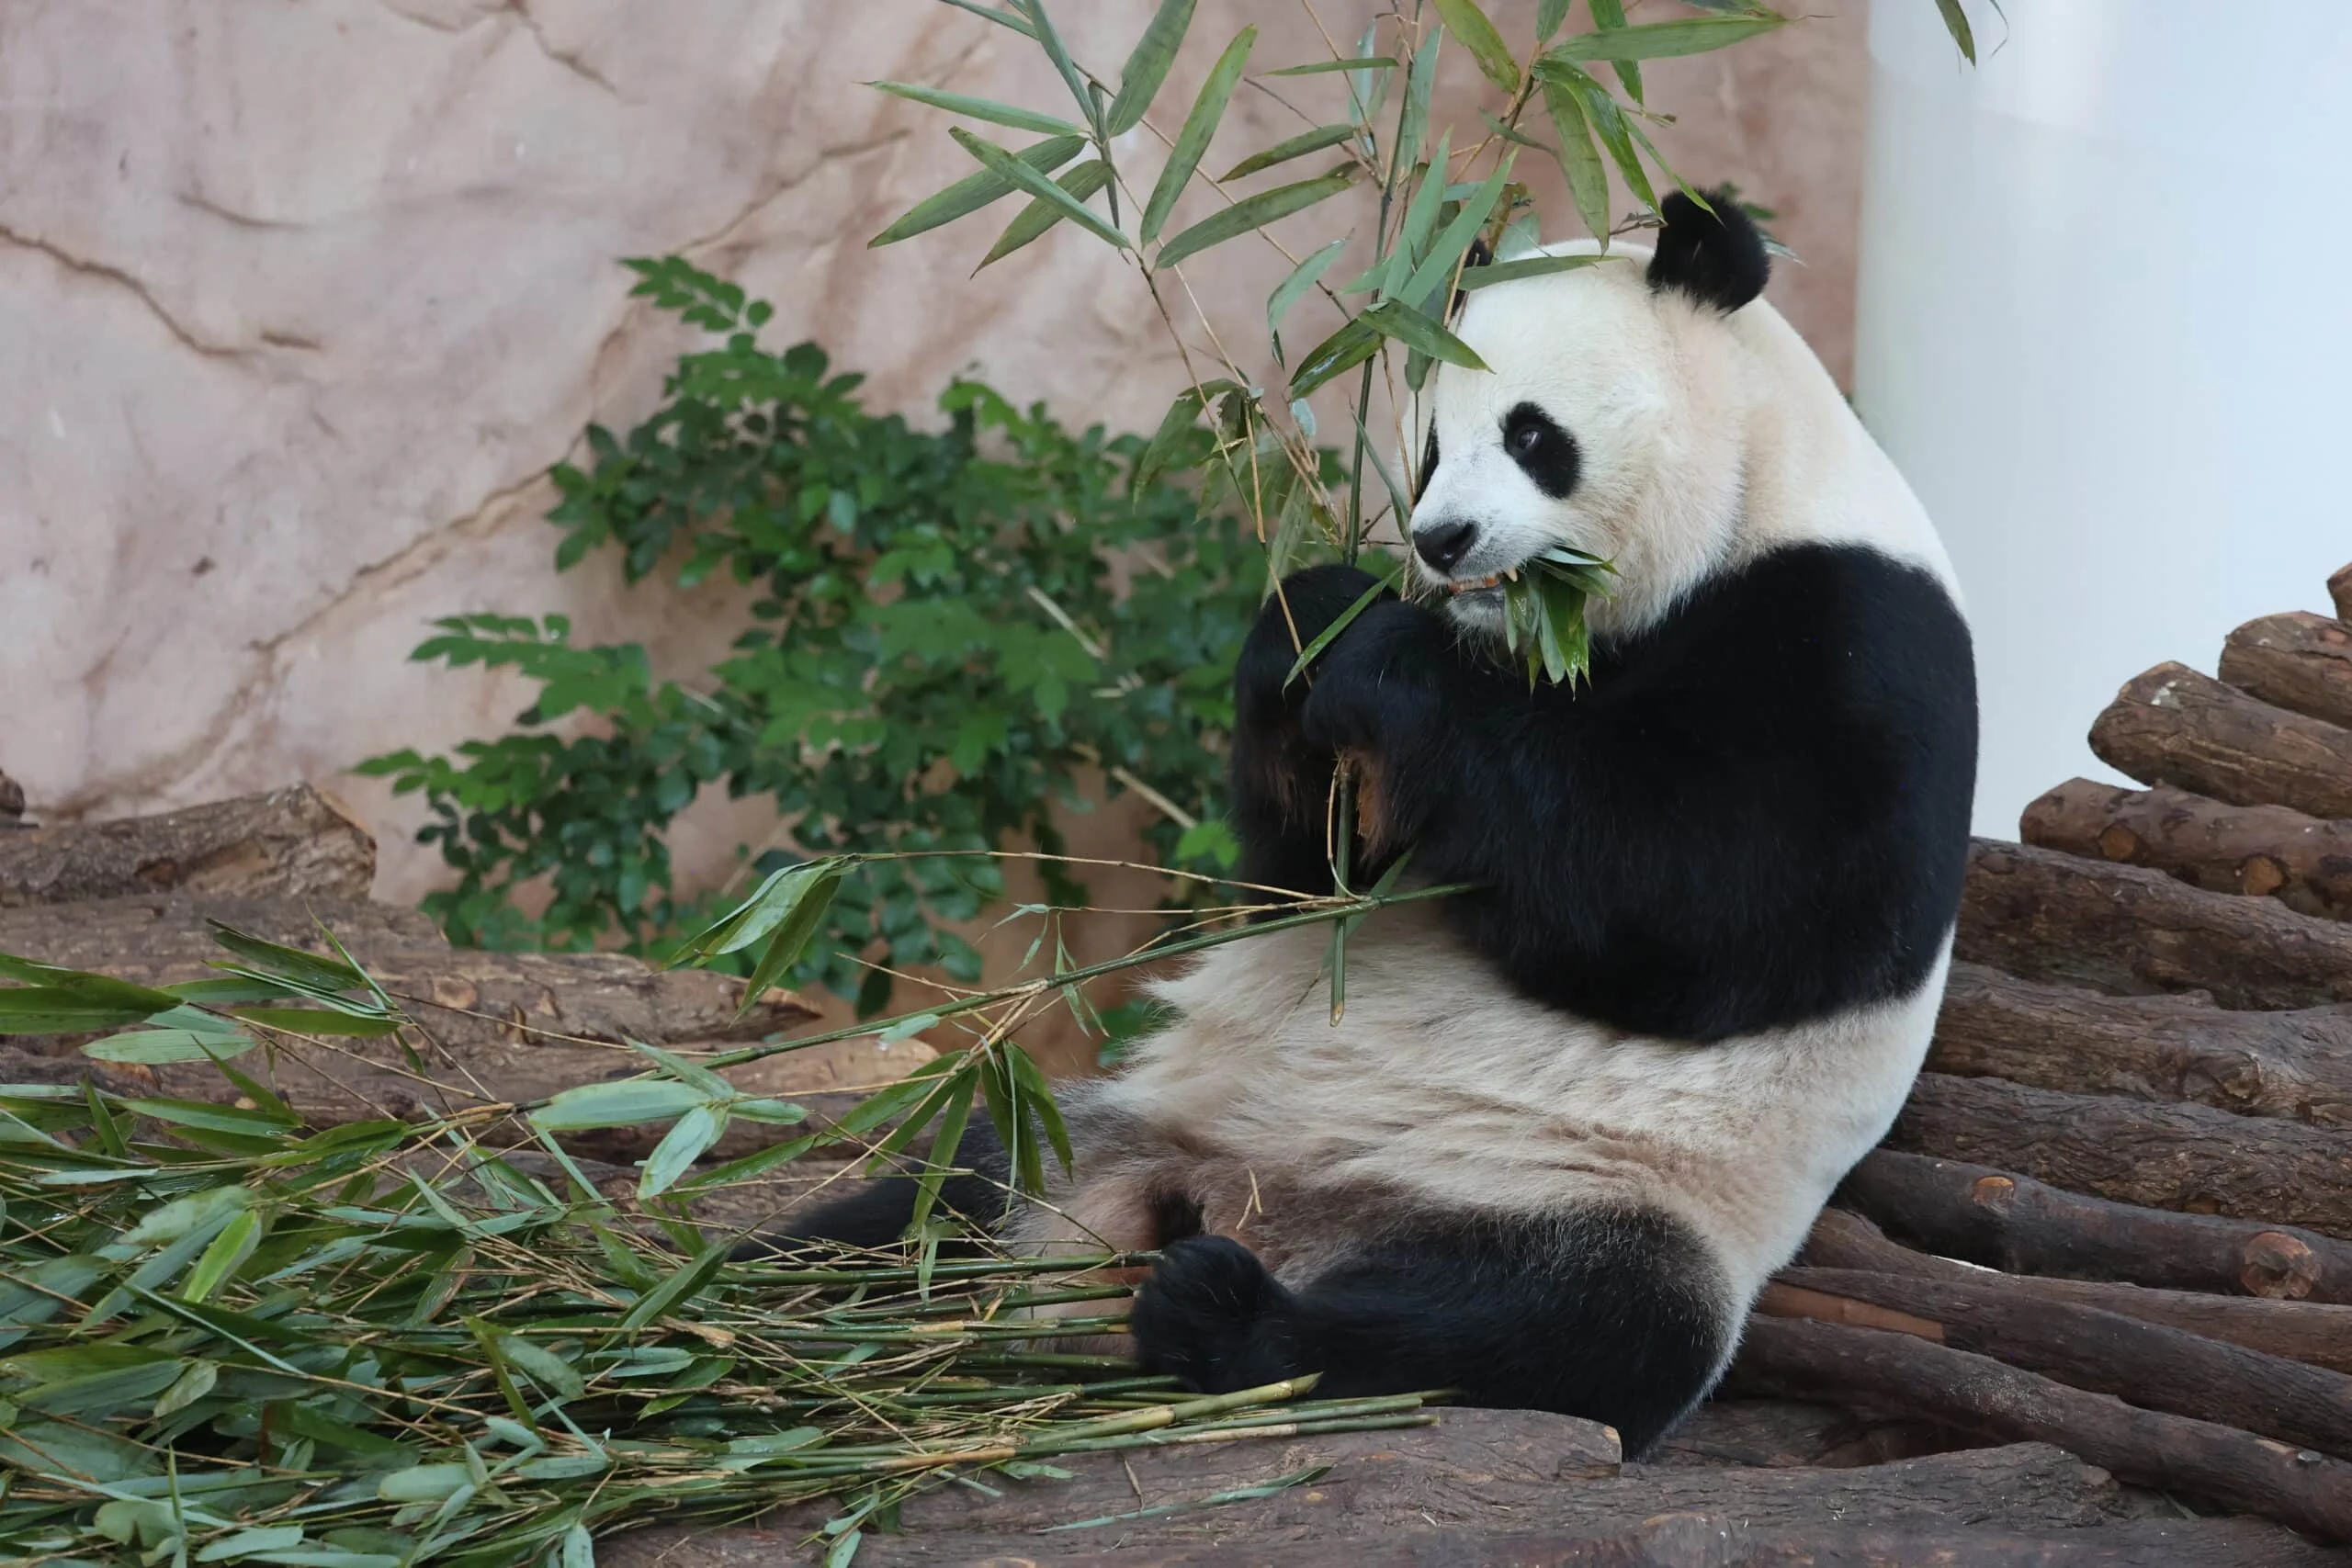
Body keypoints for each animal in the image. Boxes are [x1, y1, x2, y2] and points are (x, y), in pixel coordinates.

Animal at [771, 189, 1977, 1458]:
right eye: (1430, 444)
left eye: (1533, 435)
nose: (1442, 542)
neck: (1756, 488)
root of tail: (1246, 1206)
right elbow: (1308, 878)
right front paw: (1308, 629)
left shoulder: (1853, 634)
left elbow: (1722, 905)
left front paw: (1380, 657)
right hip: (1081, 1132)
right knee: (933, 1199)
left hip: (1597, 1200)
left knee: (1540, 1330)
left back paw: (1224, 1319)